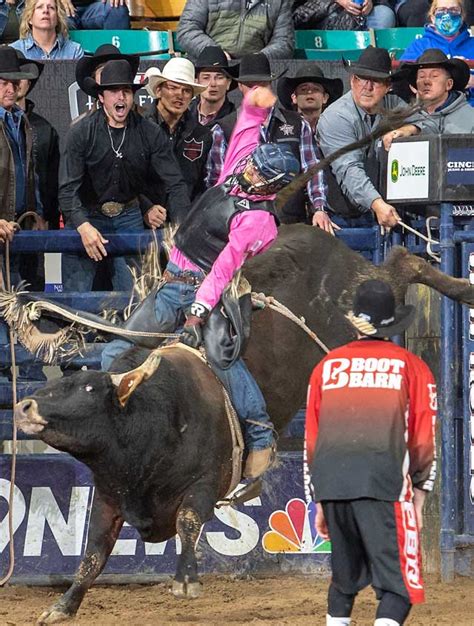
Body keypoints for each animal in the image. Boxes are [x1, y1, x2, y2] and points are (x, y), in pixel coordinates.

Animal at [10, 223, 474, 620]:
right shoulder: (110, 497)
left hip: (359, 306)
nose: (25, 406)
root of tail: (319, 239)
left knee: (404, 264)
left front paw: (185, 581)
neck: (150, 419)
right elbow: (92, 554)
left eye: (88, 389)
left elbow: (188, 522)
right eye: (64, 383)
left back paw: (462, 288)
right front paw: (63, 605)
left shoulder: (205, 482)